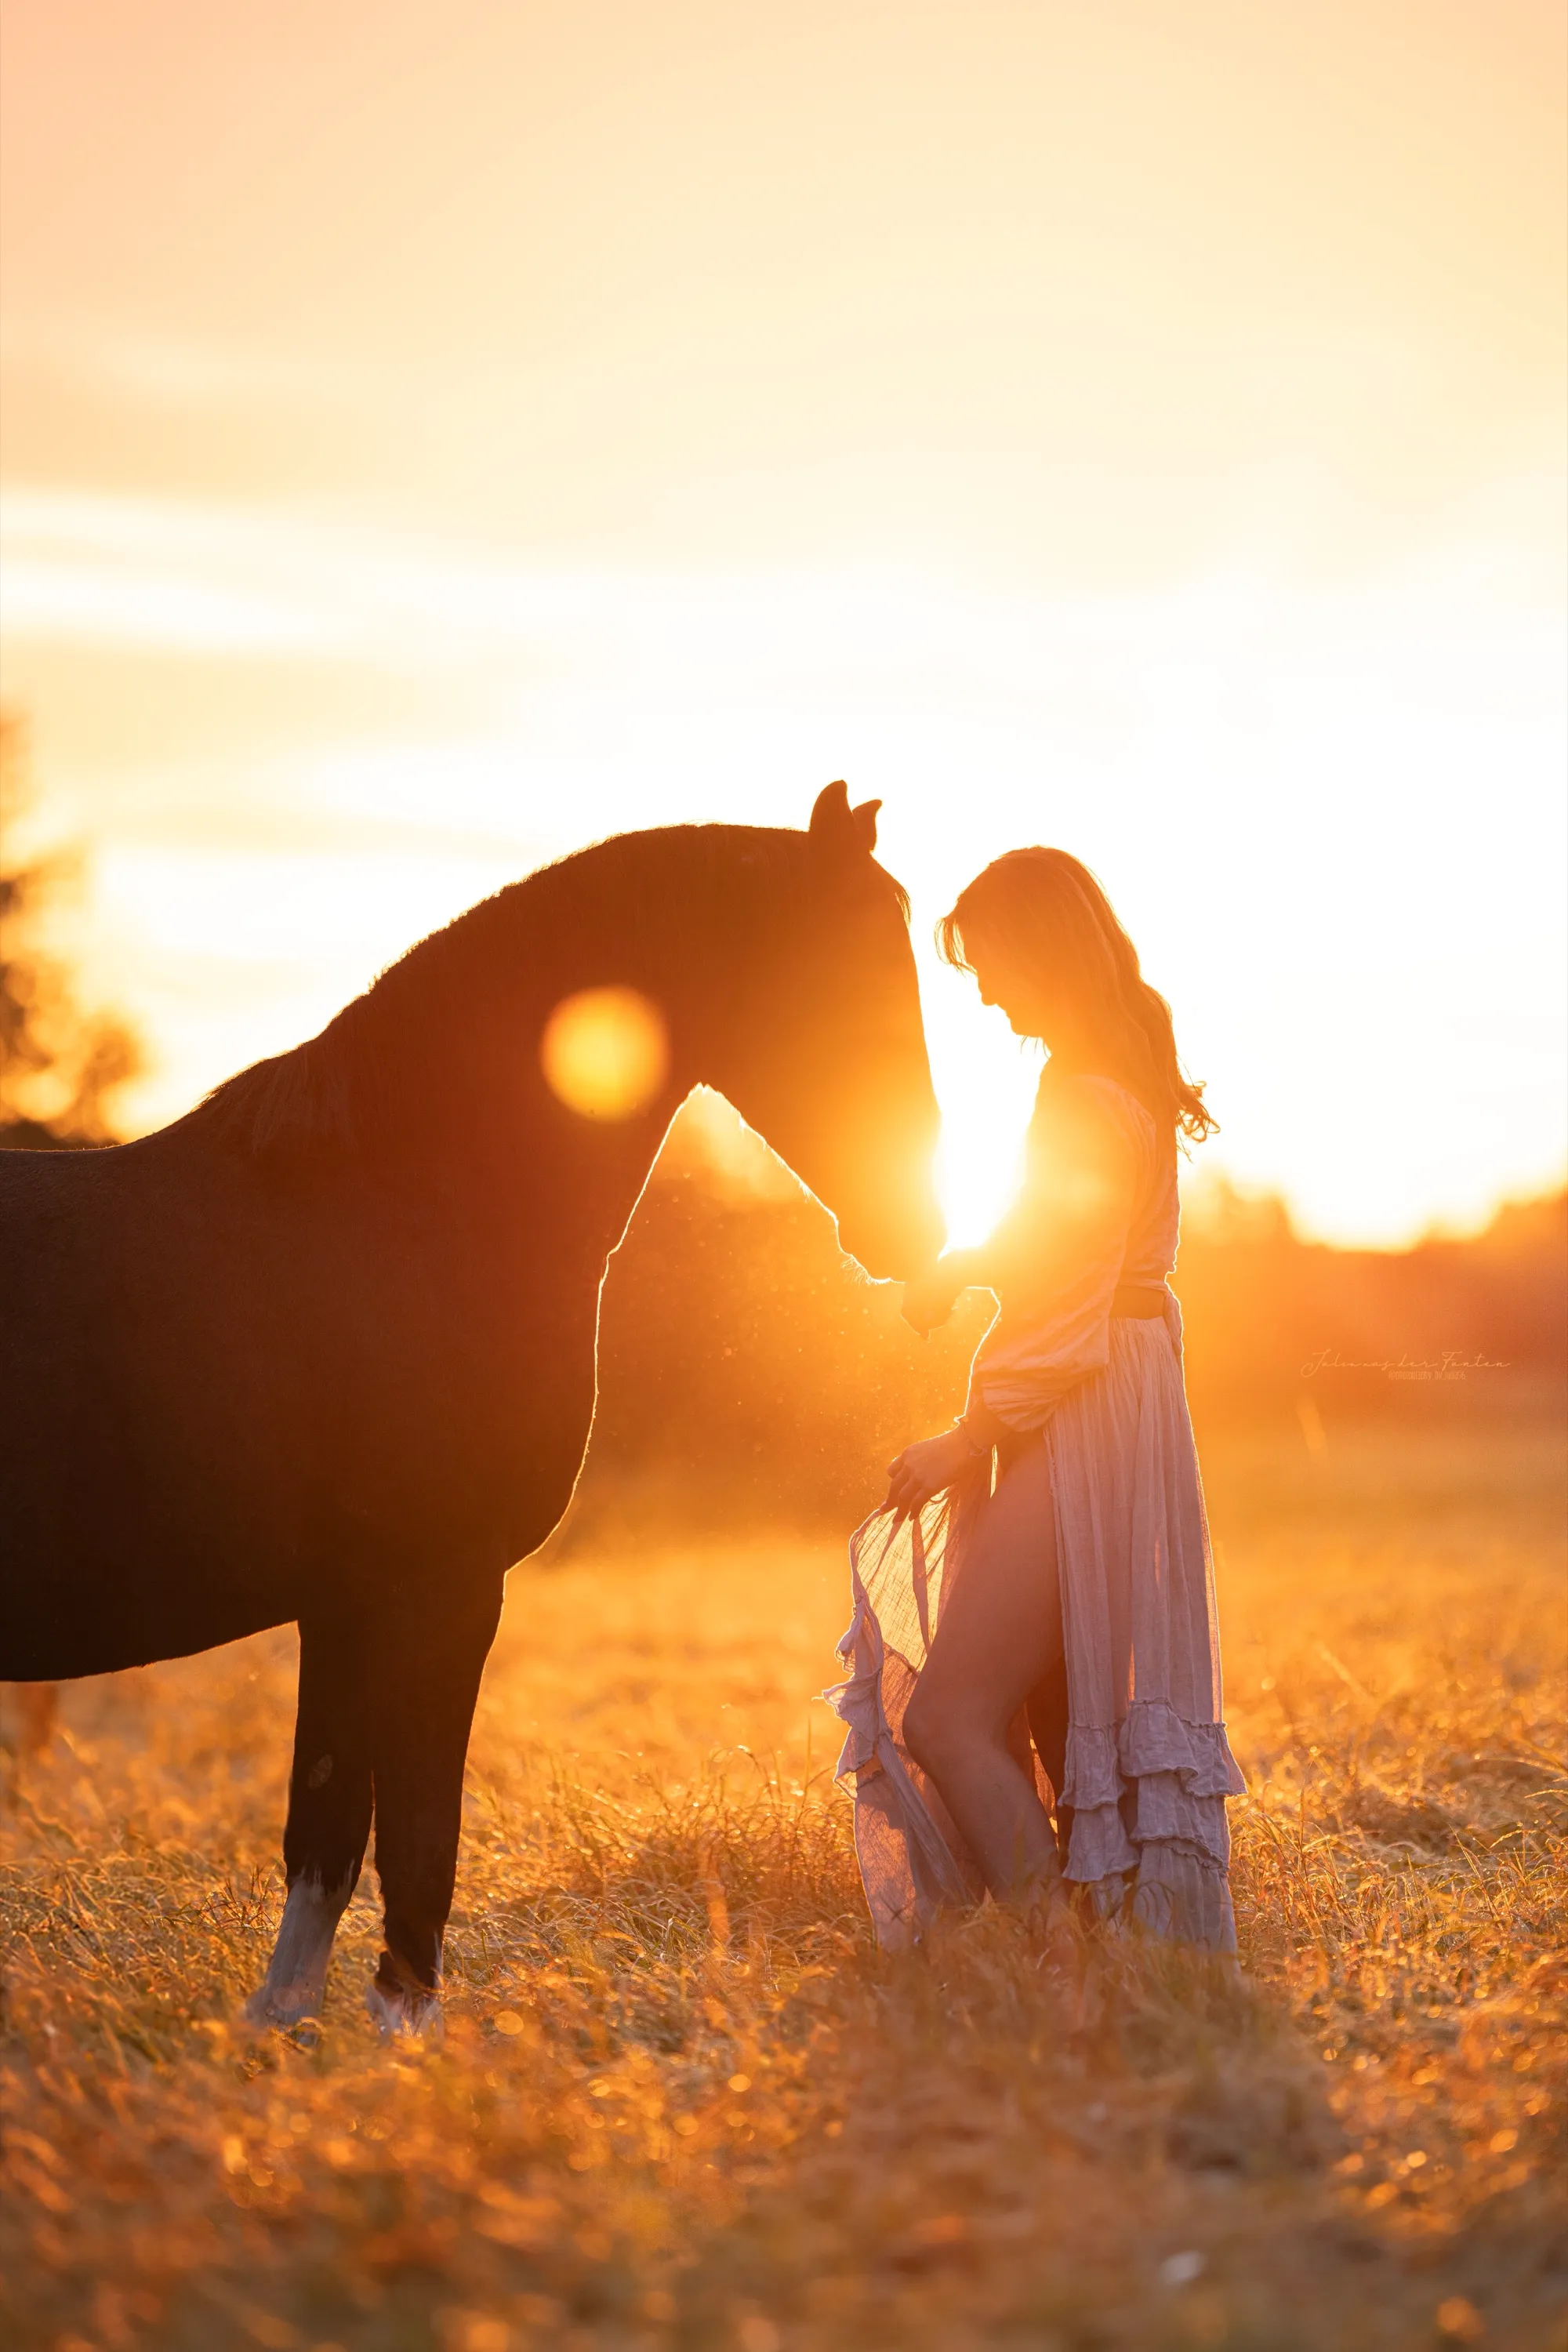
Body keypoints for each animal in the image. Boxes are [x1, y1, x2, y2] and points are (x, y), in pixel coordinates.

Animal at [0, 783, 943, 2032]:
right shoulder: (438, 1591)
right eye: (849, 981)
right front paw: (411, 2044)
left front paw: (287, 2041)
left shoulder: (348, 1606)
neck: (413, 1203)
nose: (924, 1236)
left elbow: (326, 1837)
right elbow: (417, 1846)